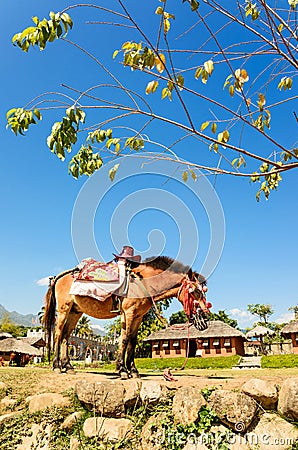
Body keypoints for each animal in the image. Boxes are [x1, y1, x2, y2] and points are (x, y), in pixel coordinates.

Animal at [42, 255, 210, 378]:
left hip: (75, 312)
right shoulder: (128, 313)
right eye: (195, 291)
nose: (205, 319)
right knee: (58, 334)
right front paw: (122, 370)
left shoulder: (138, 317)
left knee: (66, 336)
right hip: (64, 309)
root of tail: (62, 276)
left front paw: (133, 370)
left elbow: (132, 341)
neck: (142, 282)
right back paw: (57, 366)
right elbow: (124, 339)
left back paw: (68, 366)